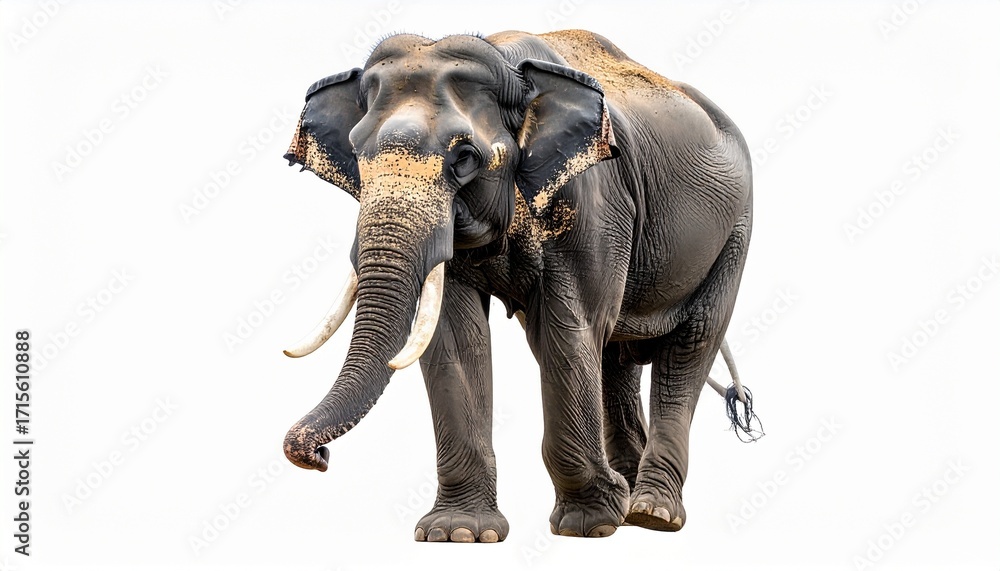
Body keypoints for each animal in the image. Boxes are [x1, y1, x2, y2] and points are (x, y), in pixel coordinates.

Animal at [280, 29, 753, 542]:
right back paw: (631, 505)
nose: (318, 456)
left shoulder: (594, 199)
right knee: (615, 356)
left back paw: (651, 514)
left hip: (734, 232)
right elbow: (453, 338)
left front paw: (590, 524)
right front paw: (458, 533)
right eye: (356, 155)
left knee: (690, 344)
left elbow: (569, 326)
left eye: (465, 158)